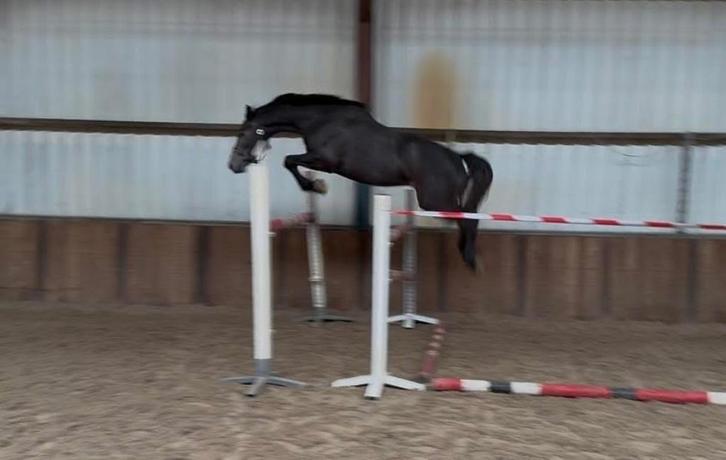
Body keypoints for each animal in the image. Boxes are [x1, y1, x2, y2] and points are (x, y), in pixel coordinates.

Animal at [227, 93, 493, 272]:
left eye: (242, 133)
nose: (234, 165)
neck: (320, 121)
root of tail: (458, 159)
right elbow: (290, 161)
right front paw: (316, 186)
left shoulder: (325, 161)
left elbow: (289, 160)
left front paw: (316, 186)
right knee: (467, 217)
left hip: (434, 202)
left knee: (468, 218)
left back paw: (470, 258)